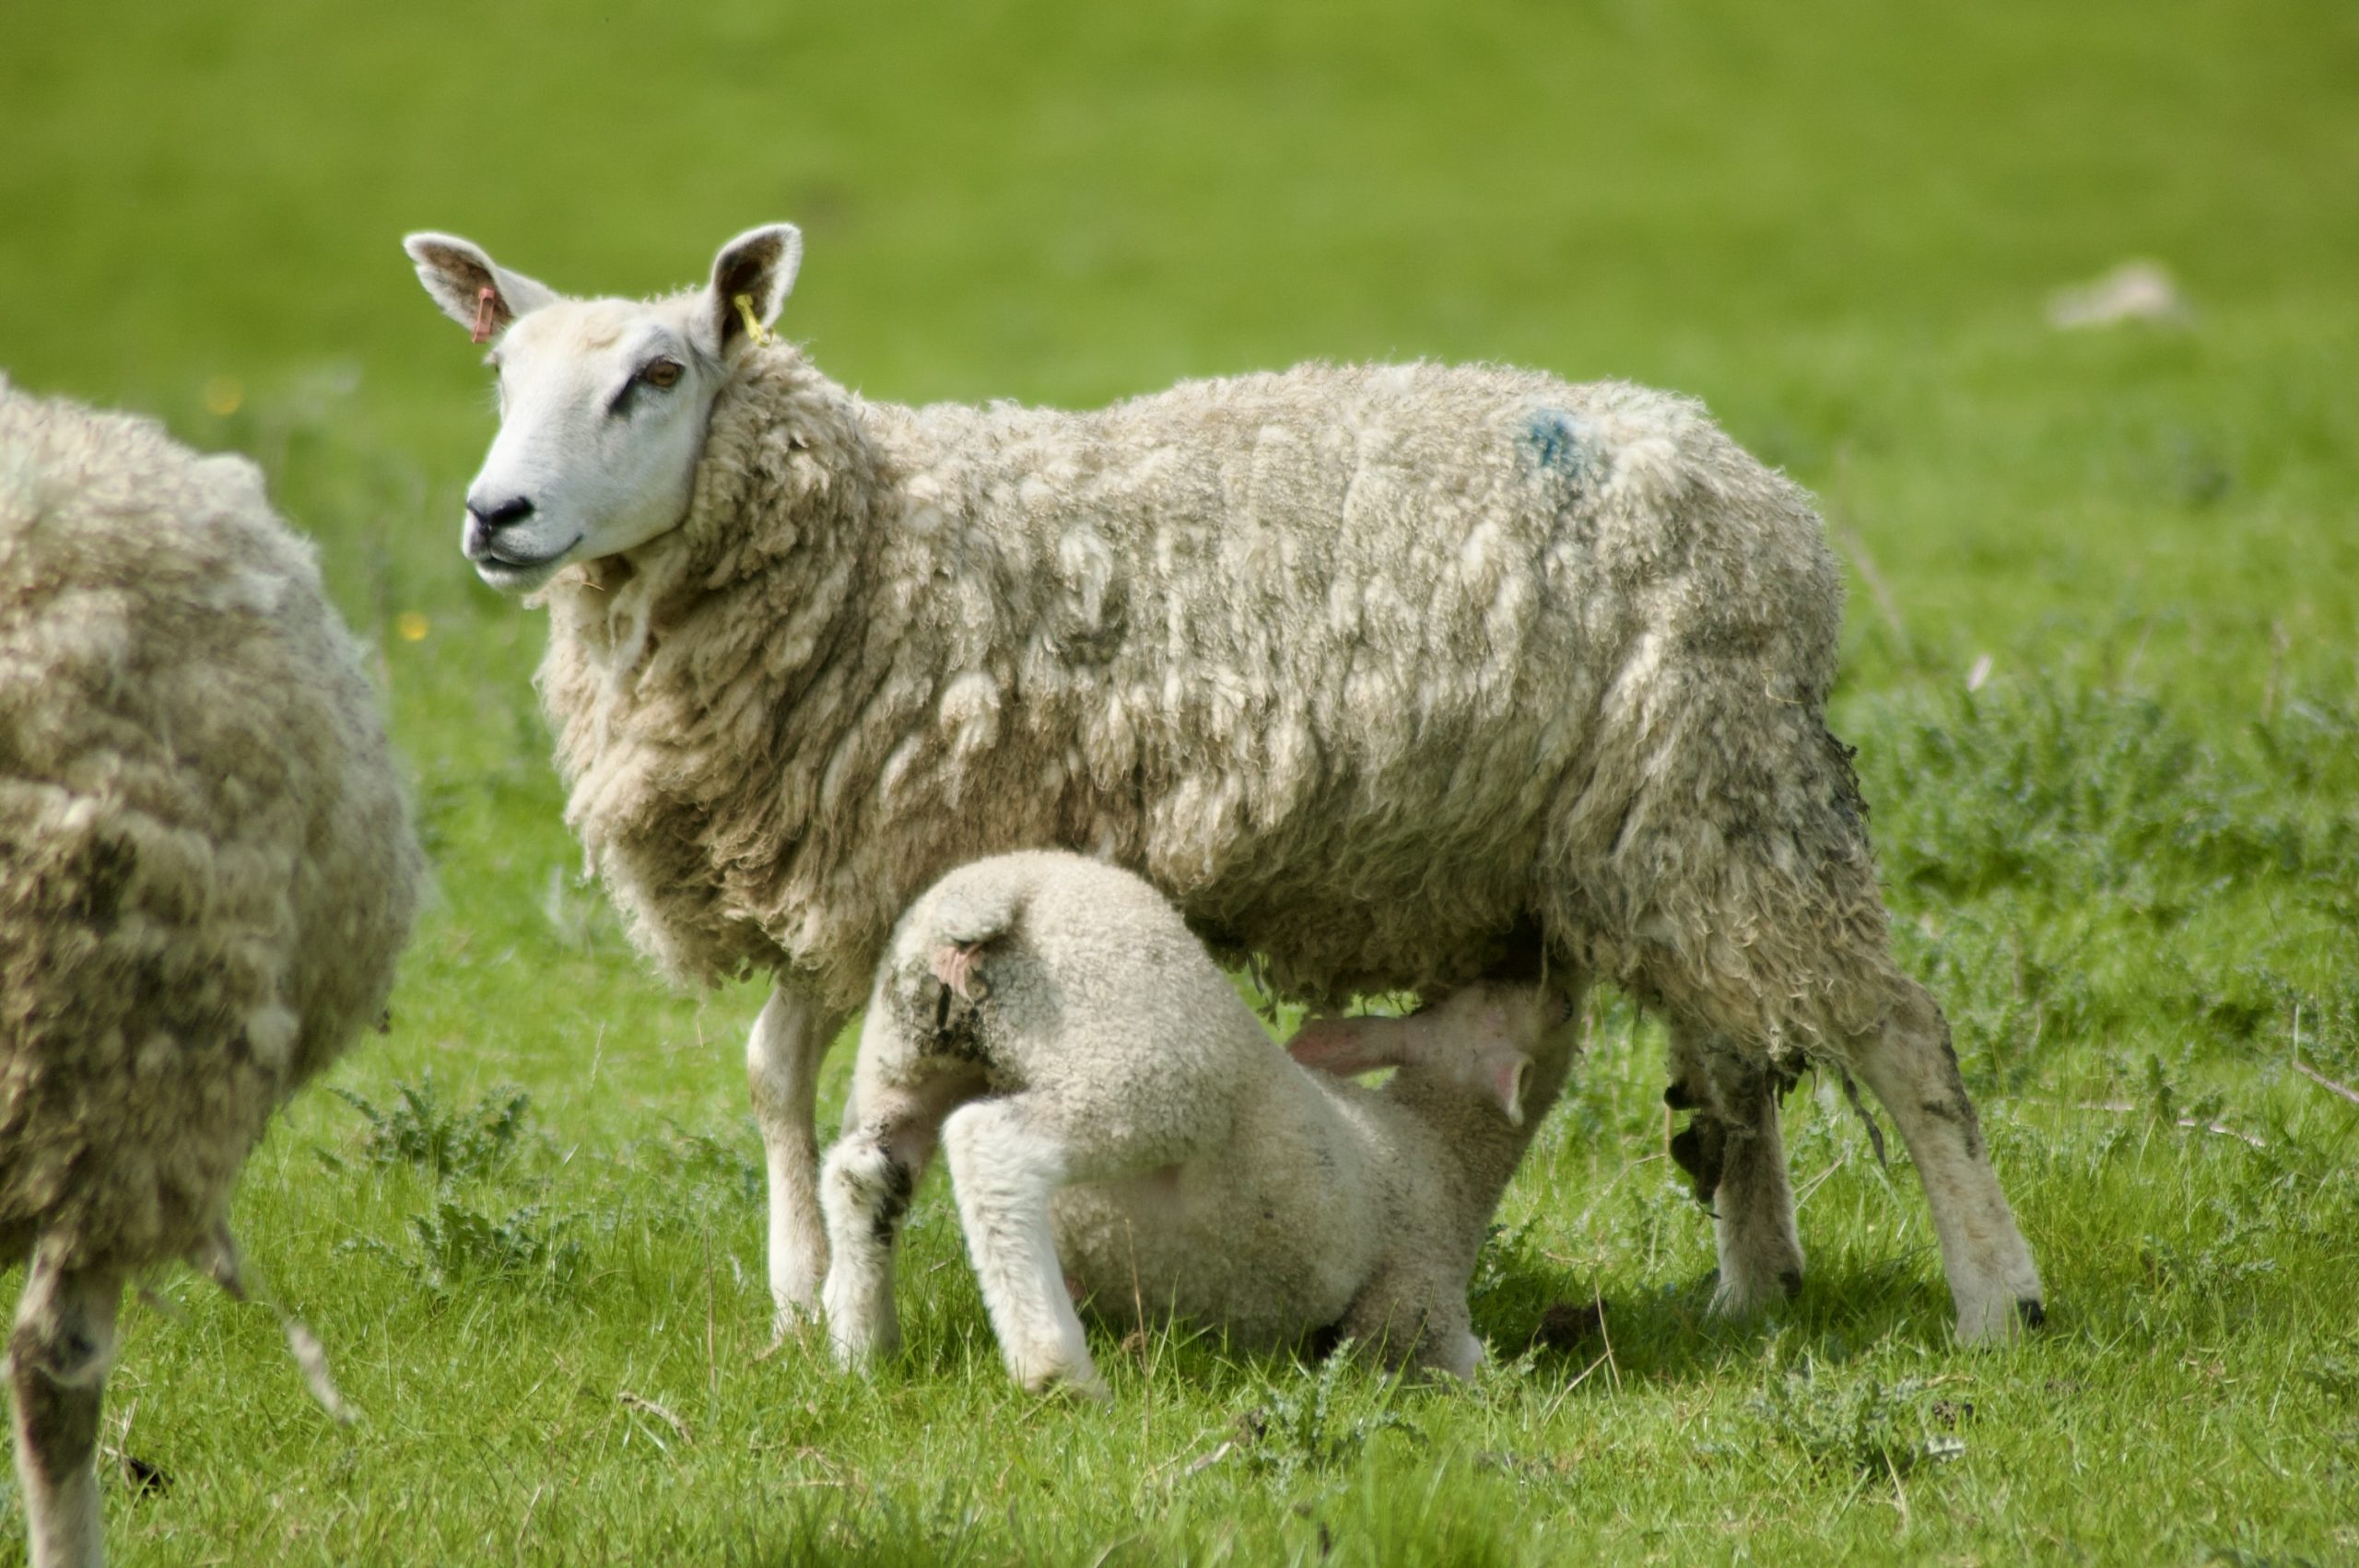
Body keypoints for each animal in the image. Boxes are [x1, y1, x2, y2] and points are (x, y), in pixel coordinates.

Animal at [820, 850, 1572, 1394]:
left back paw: (861, 1349)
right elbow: (1454, 1364)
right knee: (994, 1147)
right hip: (1146, 1072)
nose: (1556, 969)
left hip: (903, 1049)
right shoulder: (1414, 1292)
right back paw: (1057, 1369)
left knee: (865, 1172)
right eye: (1556, 1013)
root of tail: (999, 894)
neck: (1441, 1153)